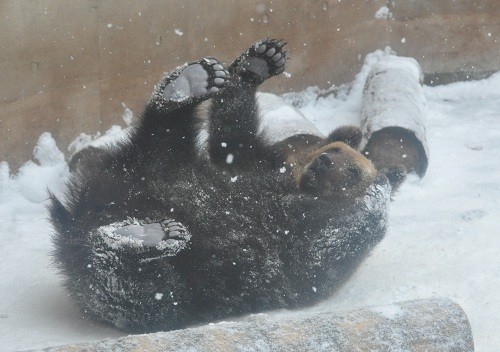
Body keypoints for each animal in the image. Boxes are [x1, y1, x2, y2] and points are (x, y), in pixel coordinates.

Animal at [51, 38, 394, 332]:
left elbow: (324, 242)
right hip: (140, 170)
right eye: (333, 149)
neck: (294, 183)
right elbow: (232, 137)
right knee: (160, 138)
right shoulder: (254, 163)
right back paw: (189, 83)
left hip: (181, 288)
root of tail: (75, 222)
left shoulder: (311, 251)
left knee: (129, 285)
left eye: (353, 171)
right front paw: (260, 61)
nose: (323, 163)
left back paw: (147, 236)